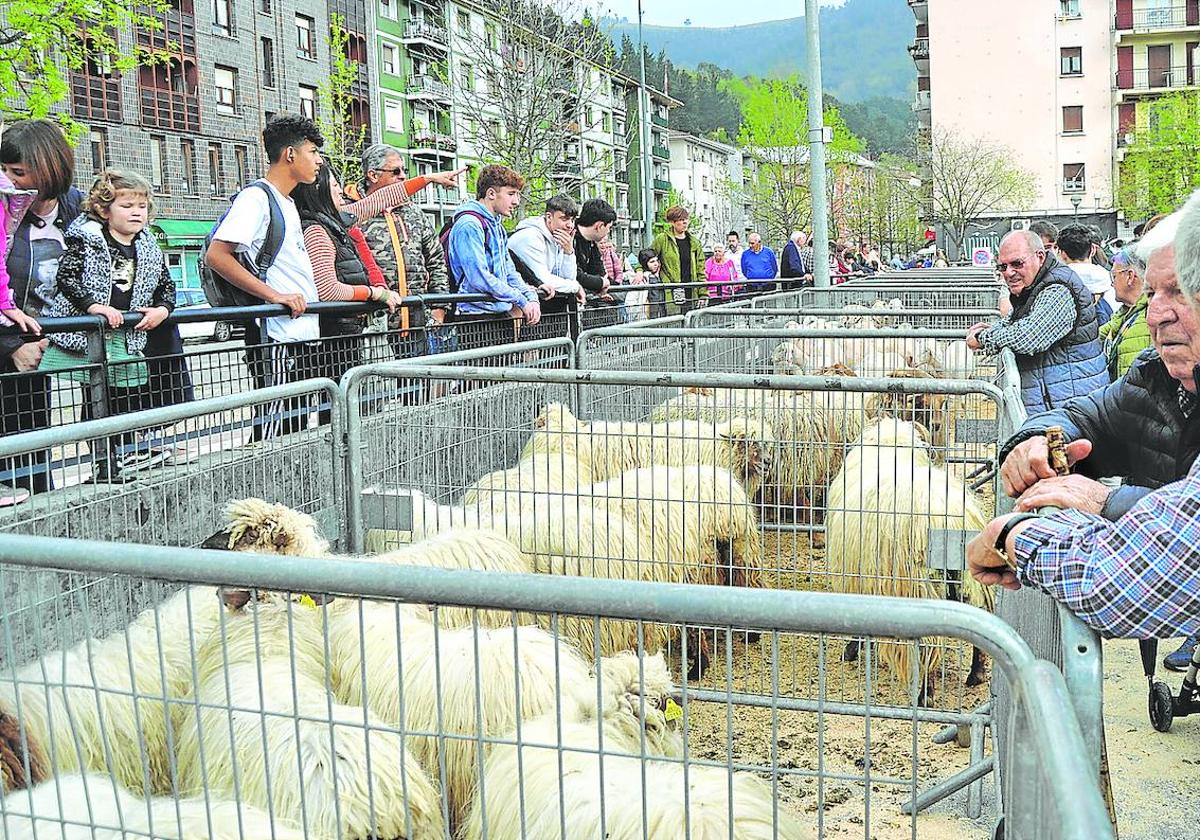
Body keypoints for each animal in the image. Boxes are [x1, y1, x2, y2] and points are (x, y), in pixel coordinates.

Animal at [825, 415, 993, 700]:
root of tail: (946, 517)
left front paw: (850, 650)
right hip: (973, 584)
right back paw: (976, 674)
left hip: (919, 587)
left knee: (927, 644)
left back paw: (925, 693)